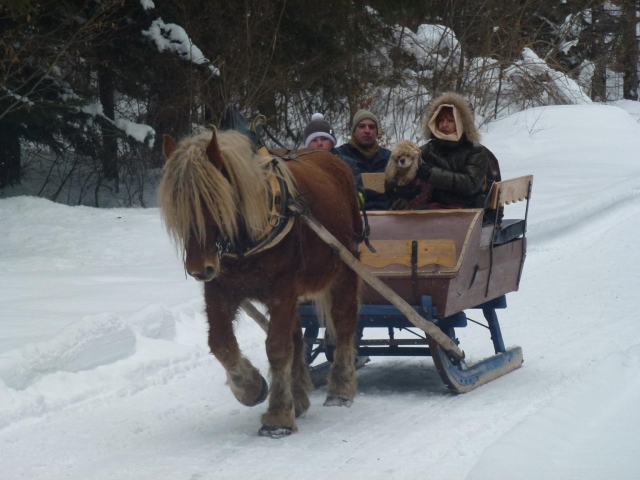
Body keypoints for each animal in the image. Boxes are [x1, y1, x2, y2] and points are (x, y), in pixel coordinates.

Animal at [158, 128, 363, 437]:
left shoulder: (282, 291)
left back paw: (340, 386)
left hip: (345, 268)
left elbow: (277, 347)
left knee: (344, 323)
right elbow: (221, 343)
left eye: (213, 199)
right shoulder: (219, 290)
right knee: (298, 336)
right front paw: (251, 388)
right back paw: (298, 394)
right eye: (176, 206)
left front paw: (278, 416)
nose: (198, 268)